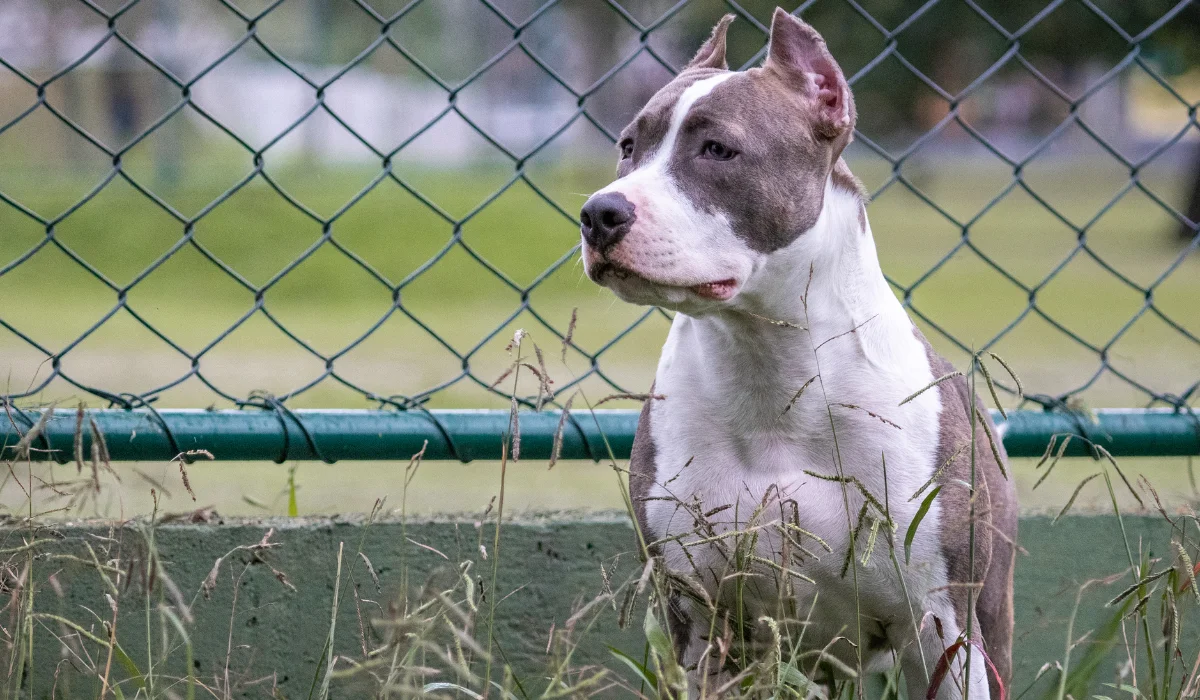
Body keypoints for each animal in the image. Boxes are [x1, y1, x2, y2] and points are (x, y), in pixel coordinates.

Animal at [576, 6, 1017, 700]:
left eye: (718, 149)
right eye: (628, 146)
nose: (599, 213)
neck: (769, 366)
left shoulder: (944, 625)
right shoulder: (697, 620)